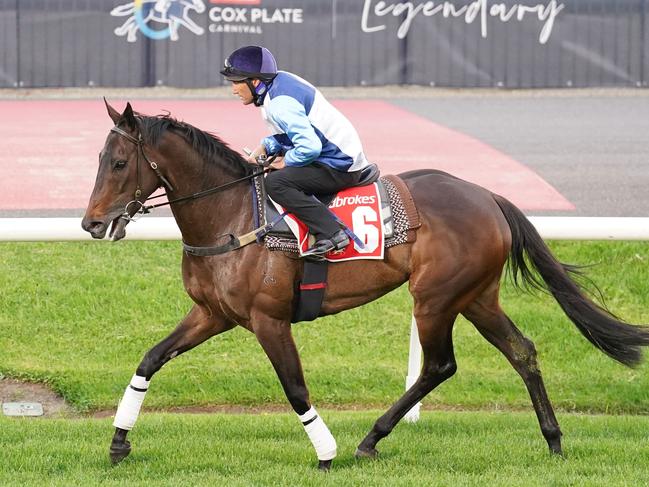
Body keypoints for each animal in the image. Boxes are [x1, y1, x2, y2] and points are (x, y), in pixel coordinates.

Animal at [82, 101, 648, 470]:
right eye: (99, 160)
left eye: (119, 162)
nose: (91, 223)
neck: (232, 215)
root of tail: (487, 195)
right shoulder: (212, 314)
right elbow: (150, 360)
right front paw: (119, 443)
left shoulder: (268, 320)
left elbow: (294, 387)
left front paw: (325, 453)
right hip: (475, 296)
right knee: (522, 350)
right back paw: (553, 441)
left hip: (435, 297)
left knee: (440, 364)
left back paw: (370, 438)